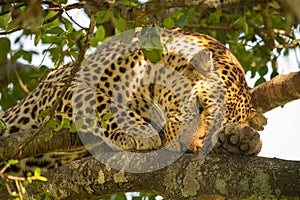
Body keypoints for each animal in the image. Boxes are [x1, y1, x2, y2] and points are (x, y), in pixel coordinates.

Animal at [0, 27, 268, 174]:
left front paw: (241, 140)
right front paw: (138, 131)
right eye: (199, 106)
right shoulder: (65, 88)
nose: (189, 148)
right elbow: (102, 101)